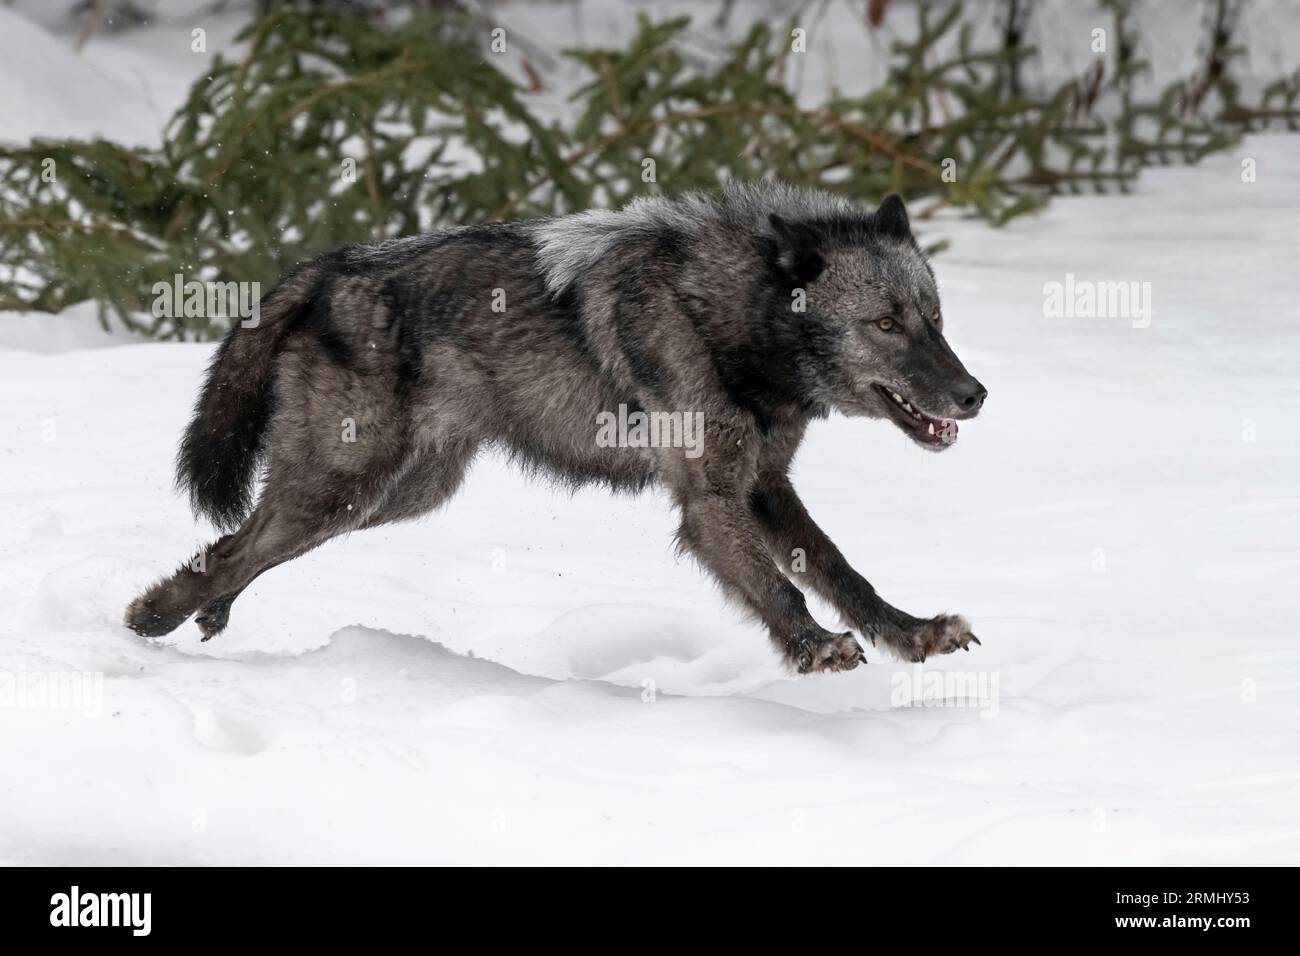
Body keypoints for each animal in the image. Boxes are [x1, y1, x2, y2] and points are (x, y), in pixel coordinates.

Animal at [125, 184, 987, 673]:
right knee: (233, 546)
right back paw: (155, 615)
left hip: (396, 496)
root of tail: (330, 265)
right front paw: (815, 648)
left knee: (243, 545)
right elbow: (781, 586)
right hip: (345, 487)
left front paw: (912, 634)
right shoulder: (711, 504)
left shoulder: (764, 486)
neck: (729, 317)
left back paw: (203, 611)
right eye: (885, 324)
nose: (975, 394)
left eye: (935, 318)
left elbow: (841, 570)